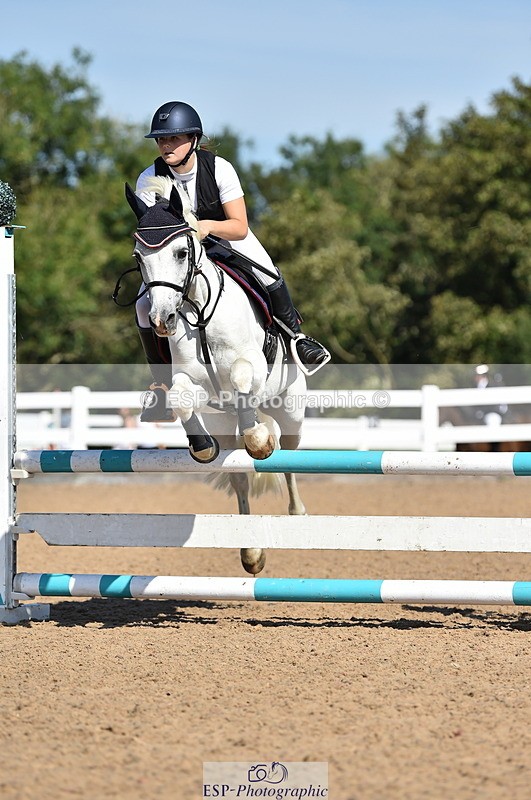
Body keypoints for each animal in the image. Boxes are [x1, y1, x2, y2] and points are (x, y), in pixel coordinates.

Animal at [122, 177, 307, 575]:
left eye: (181, 253)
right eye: (138, 257)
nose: (162, 321)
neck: (198, 309)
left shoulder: (251, 363)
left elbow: (240, 380)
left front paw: (257, 438)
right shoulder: (191, 383)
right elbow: (180, 399)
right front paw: (201, 446)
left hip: (291, 409)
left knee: (288, 454)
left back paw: (297, 514)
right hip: (222, 422)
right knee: (239, 476)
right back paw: (251, 553)